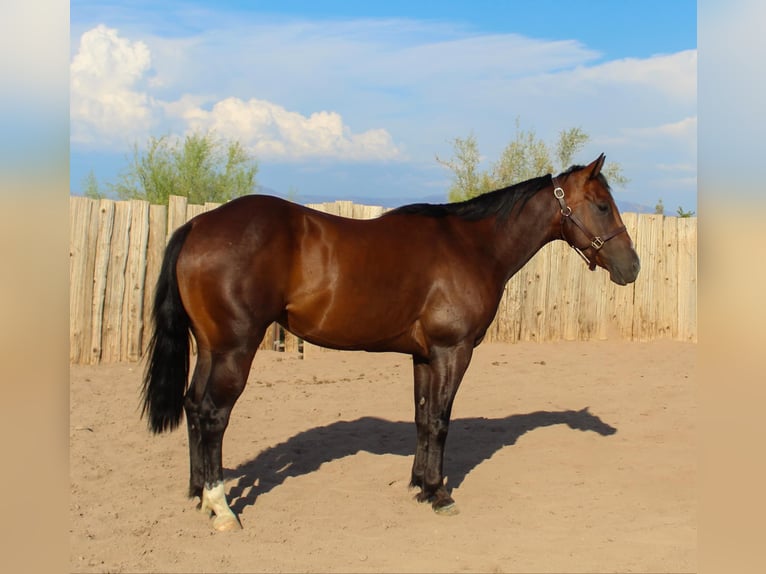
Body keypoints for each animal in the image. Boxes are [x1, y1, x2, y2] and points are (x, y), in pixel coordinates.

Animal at [141, 154, 640, 531]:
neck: (473, 245)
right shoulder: (452, 352)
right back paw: (222, 507)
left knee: (193, 406)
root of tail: (199, 224)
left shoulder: (424, 356)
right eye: (601, 205)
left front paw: (420, 484)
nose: (632, 267)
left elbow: (422, 418)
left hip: (210, 348)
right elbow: (440, 421)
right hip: (234, 350)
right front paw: (439, 493)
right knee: (213, 415)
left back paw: (199, 494)